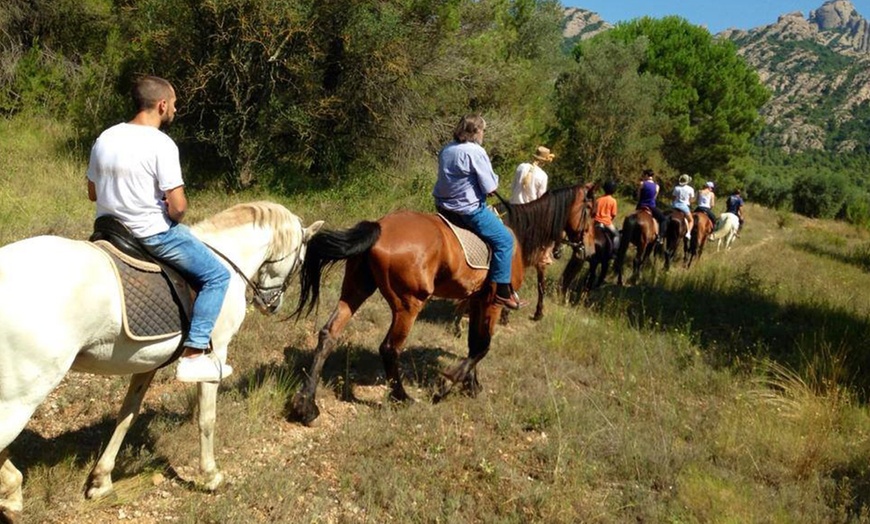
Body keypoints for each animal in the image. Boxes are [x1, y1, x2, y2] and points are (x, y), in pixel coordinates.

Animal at [0, 200, 324, 520]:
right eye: (300, 259)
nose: (270, 303)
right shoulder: (216, 354)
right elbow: (207, 419)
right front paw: (211, 476)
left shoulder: (148, 364)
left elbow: (127, 415)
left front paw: (101, 481)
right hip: (21, 398)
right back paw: (13, 491)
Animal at [290, 182, 596, 424]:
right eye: (591, 211)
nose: (590, 250)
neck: (517, 234)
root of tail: (379, 226)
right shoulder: (494, 302)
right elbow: (483, 346)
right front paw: (449, 383)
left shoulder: (476, 300)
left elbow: (474, 343)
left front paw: (472, 385)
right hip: (409, 304)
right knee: (389, 348)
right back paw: (402, 397)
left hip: (356, 289)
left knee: (328, 334)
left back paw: (307, 406)